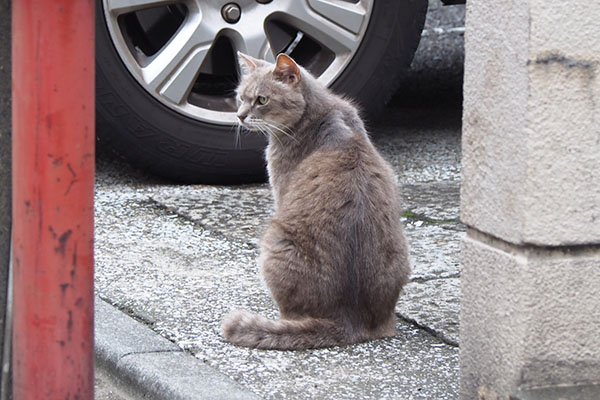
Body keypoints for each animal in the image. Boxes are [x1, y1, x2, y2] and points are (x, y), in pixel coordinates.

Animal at [221, 53, 412, 350]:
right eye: (240, 97)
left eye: (262, 100)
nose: (239, 115)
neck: (320, 116)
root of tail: (348, 320)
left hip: (275, 241)